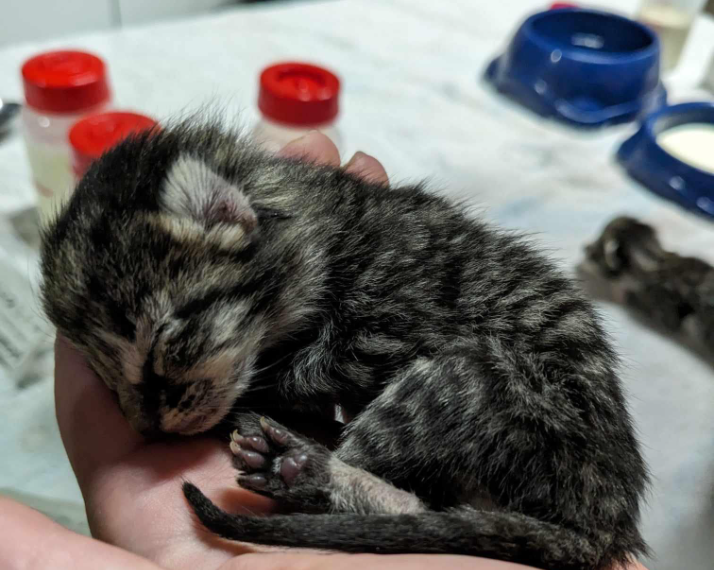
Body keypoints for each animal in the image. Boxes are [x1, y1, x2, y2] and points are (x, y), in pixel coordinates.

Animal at [41, 120, 648, 568]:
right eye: (102, 369)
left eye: (165, 341)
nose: (147, 427)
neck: (321, 234)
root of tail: (606, 522)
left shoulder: (388, 322)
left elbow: (308, 370)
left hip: (477, 382)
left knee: (404, 493)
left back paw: (303, 469)